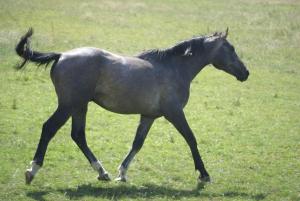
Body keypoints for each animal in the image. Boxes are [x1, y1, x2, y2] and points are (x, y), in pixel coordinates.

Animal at [15, 27, 248, 185]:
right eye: (231, 49)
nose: (246, 73)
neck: (175, 68)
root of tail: (61, 55)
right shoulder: (174, 113)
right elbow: (191, 138)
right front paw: (204, 174)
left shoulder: (148, 116)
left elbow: (137, 143)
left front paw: (122, 173)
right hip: (68, 105)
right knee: (49, 128)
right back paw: (32, 171)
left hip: (79, 106)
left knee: (78, 135)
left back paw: (103, 173)